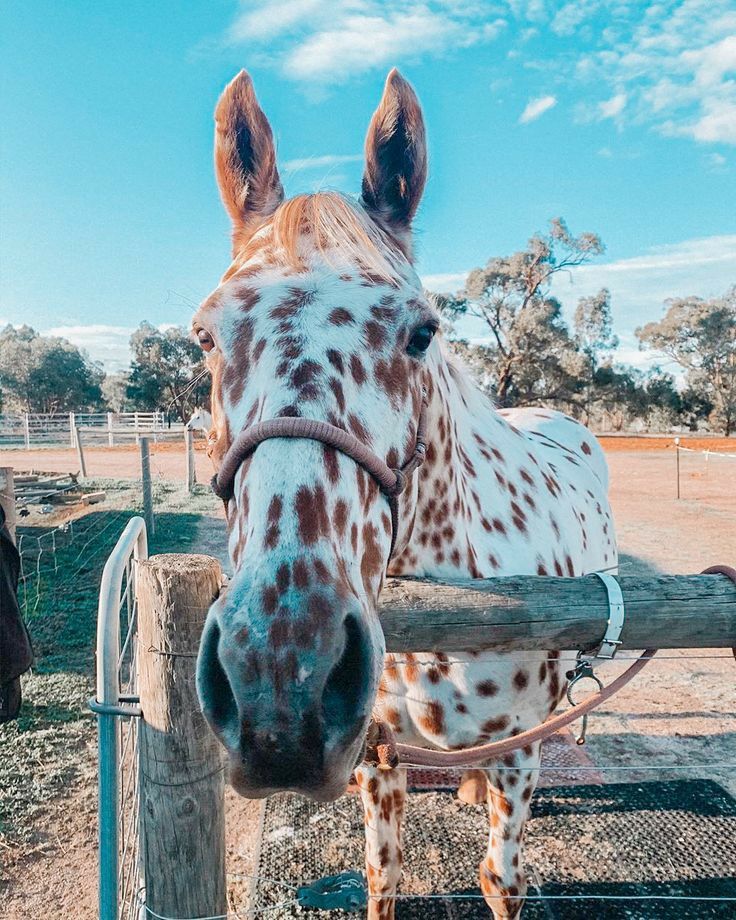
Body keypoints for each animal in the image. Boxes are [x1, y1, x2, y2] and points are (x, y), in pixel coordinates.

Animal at [197, 68, 616, 916]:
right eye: (204, 337)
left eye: (422, 333)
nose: (279, 685)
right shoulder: (376, 755)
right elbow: (381, 878)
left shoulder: (516, 755)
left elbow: (499, 878)